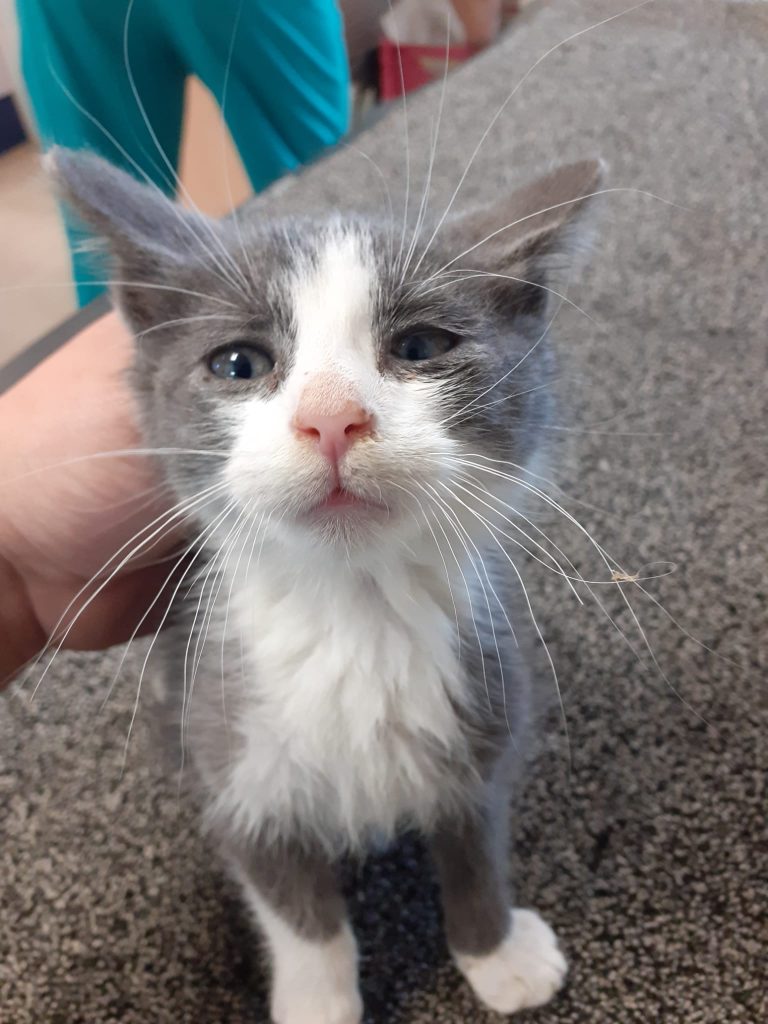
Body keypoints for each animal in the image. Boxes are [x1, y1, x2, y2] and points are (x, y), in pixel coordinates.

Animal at [50, 147, 601, 1024]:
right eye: (238, 363)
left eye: (419, 346)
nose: (333, 416)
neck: (353, 611)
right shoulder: (232, 759)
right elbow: (297, 912)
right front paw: (319, 999)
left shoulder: (487, 706)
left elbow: (475, 844)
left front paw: (499, 954)